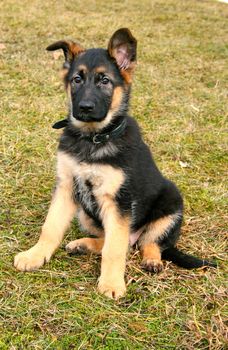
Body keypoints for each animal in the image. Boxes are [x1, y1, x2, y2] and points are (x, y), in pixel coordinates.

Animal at [14, 28, 216, 300]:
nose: (84, 107)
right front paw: (35, 256)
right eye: (76, 80)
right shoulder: (66, 187)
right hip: (86, 213)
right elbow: (51, 227)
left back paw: (152, 260)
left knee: (145, 242)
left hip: (171, 204)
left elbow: (115, 249)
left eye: (105, 81)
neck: (93, 138)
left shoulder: (118, 201)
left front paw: (111, 283)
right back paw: (83, 245)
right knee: (115, 240)